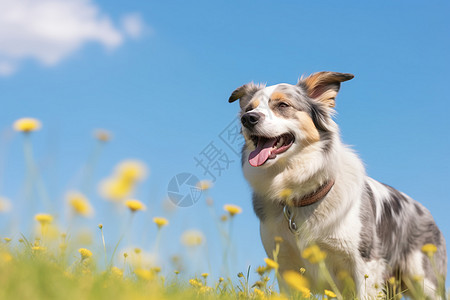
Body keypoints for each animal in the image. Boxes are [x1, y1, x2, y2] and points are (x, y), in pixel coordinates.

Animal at [229, 71, 446, 298]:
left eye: (282, 105)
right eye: (248, 109)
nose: (248, 118)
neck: (301, 194)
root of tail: (426, 213)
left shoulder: (365, 263)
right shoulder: (285, 266)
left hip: (425, 282)